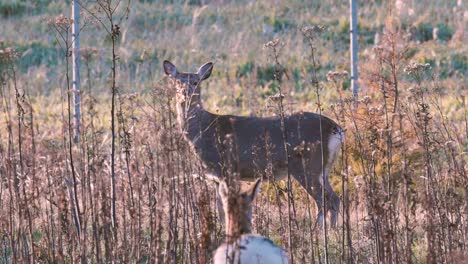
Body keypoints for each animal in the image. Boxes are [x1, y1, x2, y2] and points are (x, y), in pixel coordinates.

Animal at [164, 59, 344, 227]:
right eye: (177, 81)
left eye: (196, 82)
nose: (185, 93)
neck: (203, 130)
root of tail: (336, 129)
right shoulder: (216, 176)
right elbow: (220, 208)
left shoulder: (225, 167)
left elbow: (225, 207)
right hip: (323, 169)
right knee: (334, 199)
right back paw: (332, 231)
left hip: (307, 164)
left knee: (323, 200)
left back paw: (319, 231)